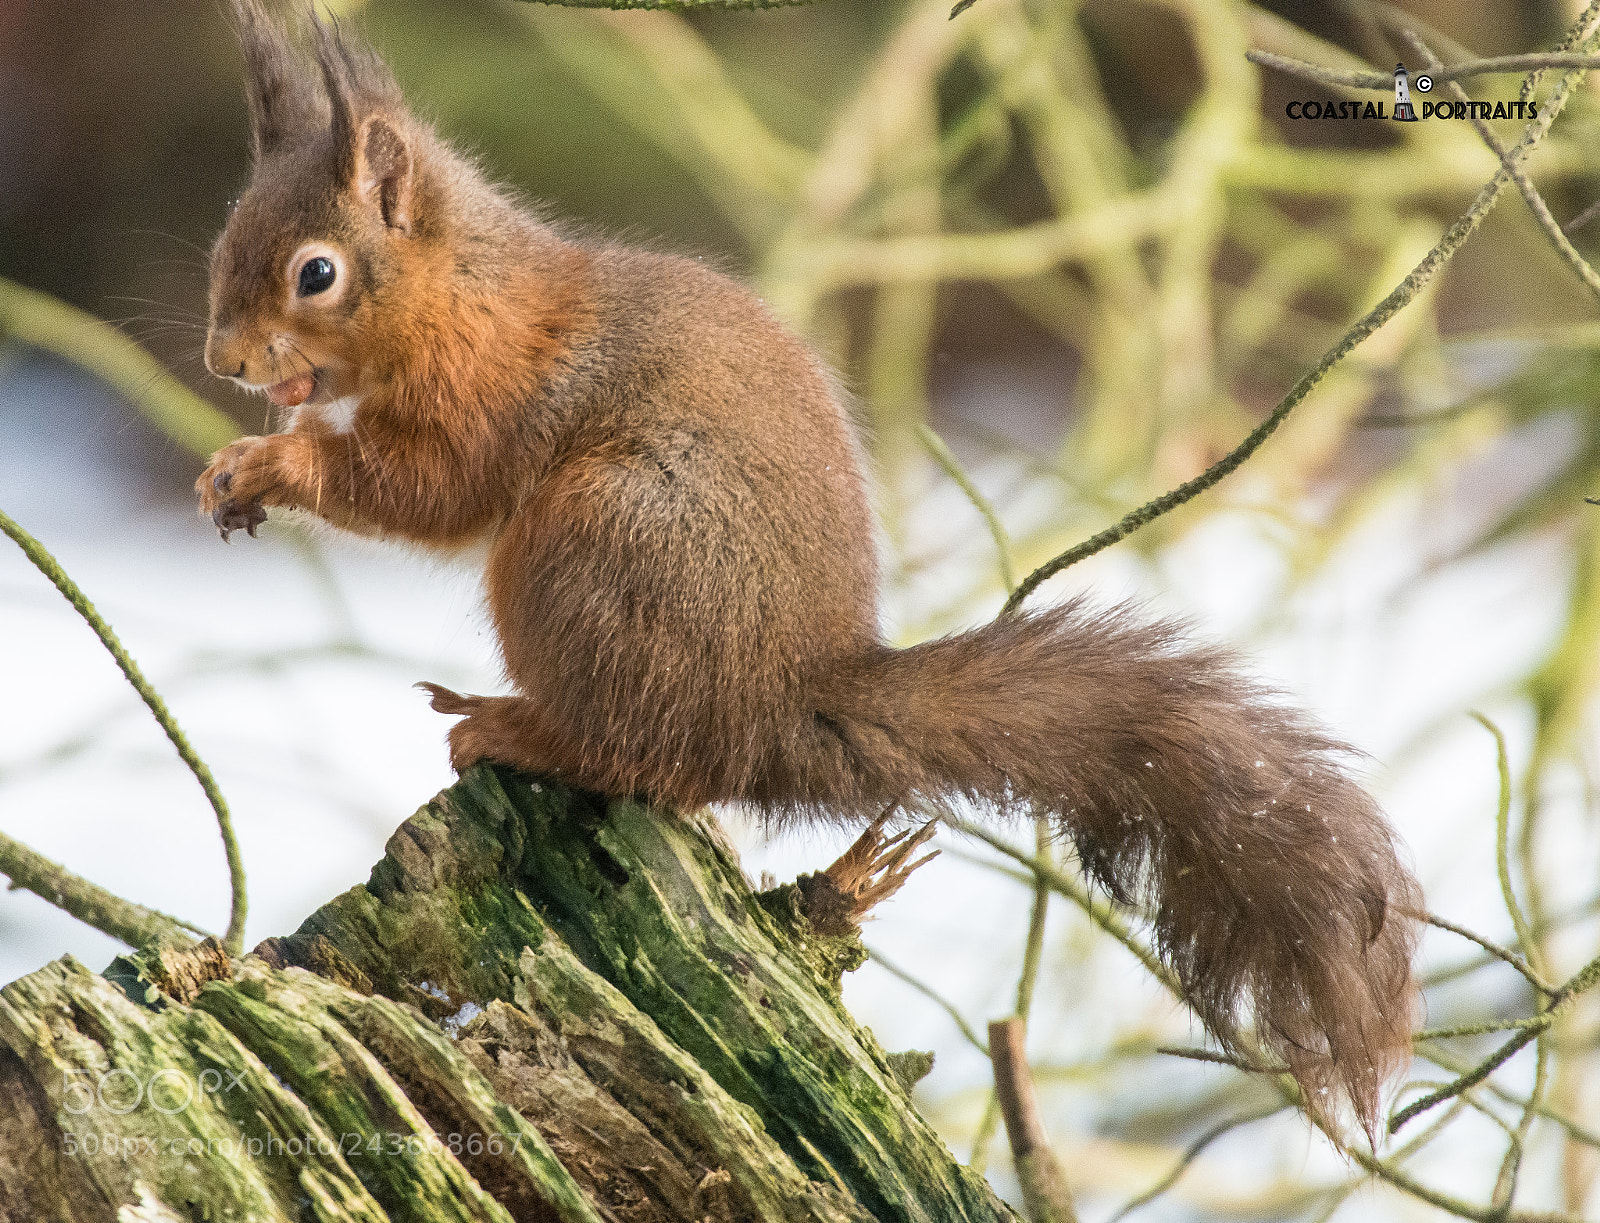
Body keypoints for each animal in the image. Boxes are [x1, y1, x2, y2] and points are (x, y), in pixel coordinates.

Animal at [198, 2, 1421, 1135]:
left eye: (317, 273)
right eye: (222, 246)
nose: (225, 360)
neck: (456, 289)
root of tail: (780, 701)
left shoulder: (488, 392)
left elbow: (430, 487)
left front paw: (276, 462)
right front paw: (240, 464)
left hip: (593, 548)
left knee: (646, 756)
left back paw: (512, 725)